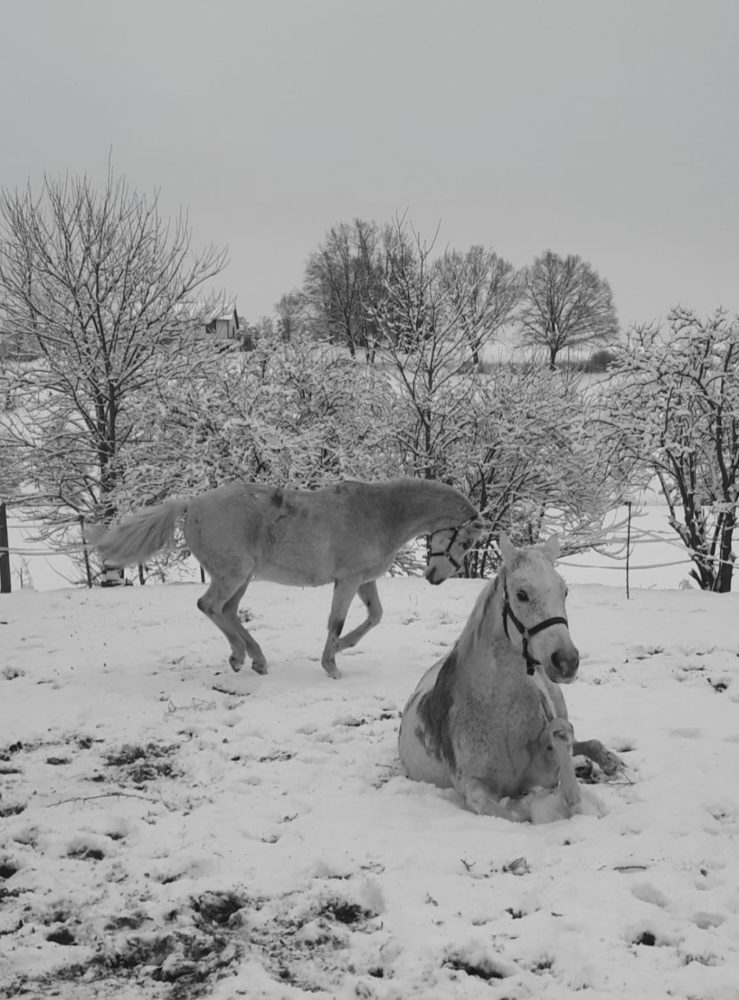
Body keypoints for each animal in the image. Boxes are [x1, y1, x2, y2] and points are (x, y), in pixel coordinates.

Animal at [91, 476, 486, 680]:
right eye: (466, 541)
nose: (436, 578)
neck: (380, 514)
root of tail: (193, 504)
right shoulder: (347, 581)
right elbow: (336, 622)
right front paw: (332, 666)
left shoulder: (364, 581)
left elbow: (375, 616)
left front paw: (342, 649)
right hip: (233, 575)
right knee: (210, 606)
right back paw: (246, 656)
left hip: (242, 578)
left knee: (227, 612)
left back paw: (250, 658)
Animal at [398, 532, 620, 820]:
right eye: (521, 595)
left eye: (565, 591)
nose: (567, 660)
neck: (498, 710)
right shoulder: (473, 787)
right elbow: (519, 817)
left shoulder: (543, 774)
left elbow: (561, 732)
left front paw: (573, 798)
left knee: (581, 739)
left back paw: (607, 760)